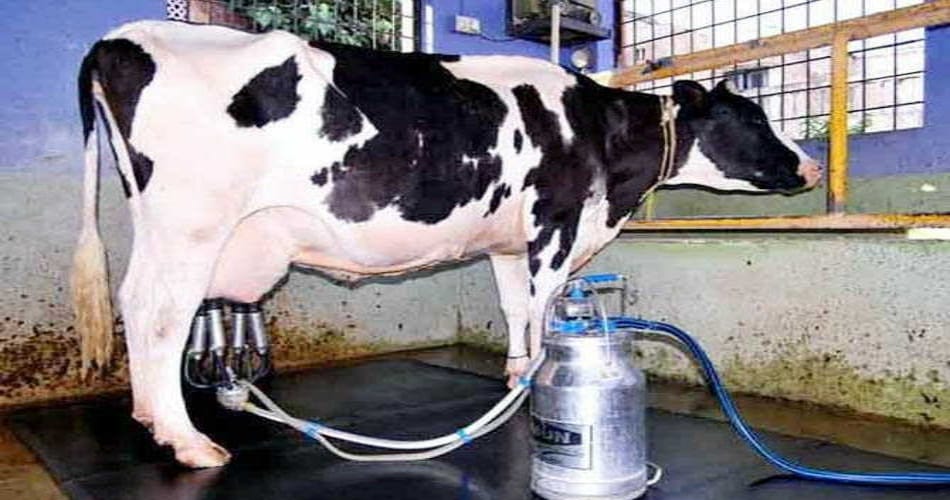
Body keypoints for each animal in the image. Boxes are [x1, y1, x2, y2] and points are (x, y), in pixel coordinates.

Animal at [71, 20, 821, 468]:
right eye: (752, 117)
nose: (811, 167)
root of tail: (122, 36)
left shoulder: (508, 242)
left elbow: (515, 307)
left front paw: (517, 374)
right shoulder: (555, 220)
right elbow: (544, 306)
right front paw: (535, 382)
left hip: (164, 224)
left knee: (140, 306)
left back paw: (152, 416)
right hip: (190, 224)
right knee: (157, 315)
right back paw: (185, 439)